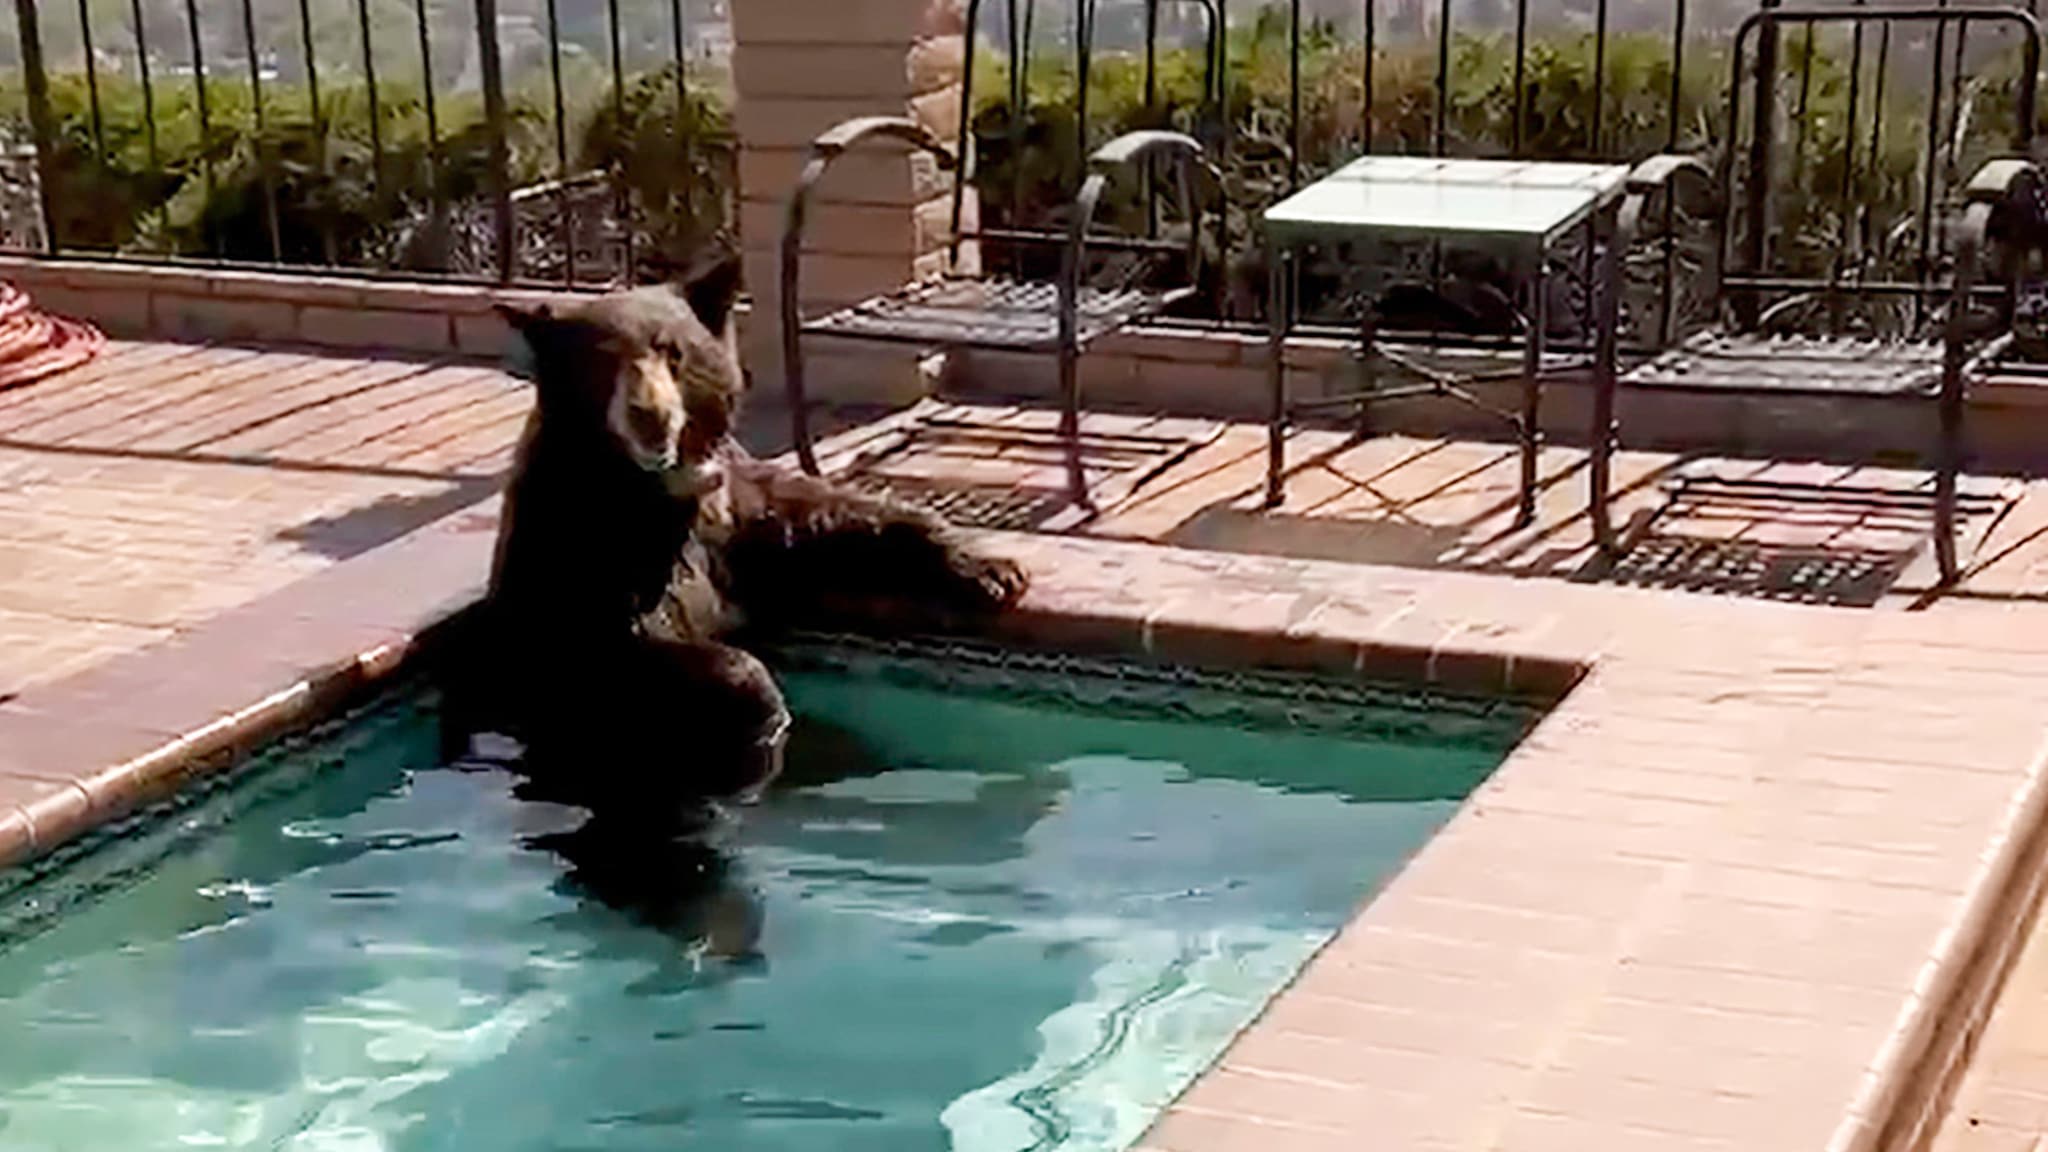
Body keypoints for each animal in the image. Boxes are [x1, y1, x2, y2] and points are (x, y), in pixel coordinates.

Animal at [442, 247, 1032, 811]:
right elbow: (608, 650)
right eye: (601, 361)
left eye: (673, 352)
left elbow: (819, 519)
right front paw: (760, 698)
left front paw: (992, 570)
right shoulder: (573, 546)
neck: (654, 489)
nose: (650, 415)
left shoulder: (729, 513)